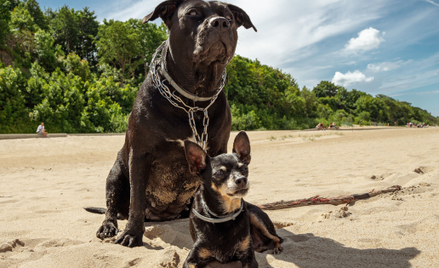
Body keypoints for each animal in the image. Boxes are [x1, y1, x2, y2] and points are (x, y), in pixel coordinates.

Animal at [91, 0, 258, 247]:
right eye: (193, 12)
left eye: (229, 16)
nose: (220, 22)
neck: (193, 99)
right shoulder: (139, 154)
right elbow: (136, 200)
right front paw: (132, 233)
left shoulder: (218, 148)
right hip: (116, 174)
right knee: (113, 206)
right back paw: (109, 226)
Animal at [184, 132, 284, 268]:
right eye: (220, 173)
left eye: (244, 169)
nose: (241, 179)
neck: (224, 216)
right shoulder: (191, 260)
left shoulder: (249, 258)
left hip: (255, 216)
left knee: (278, 238)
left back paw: (277, 247)